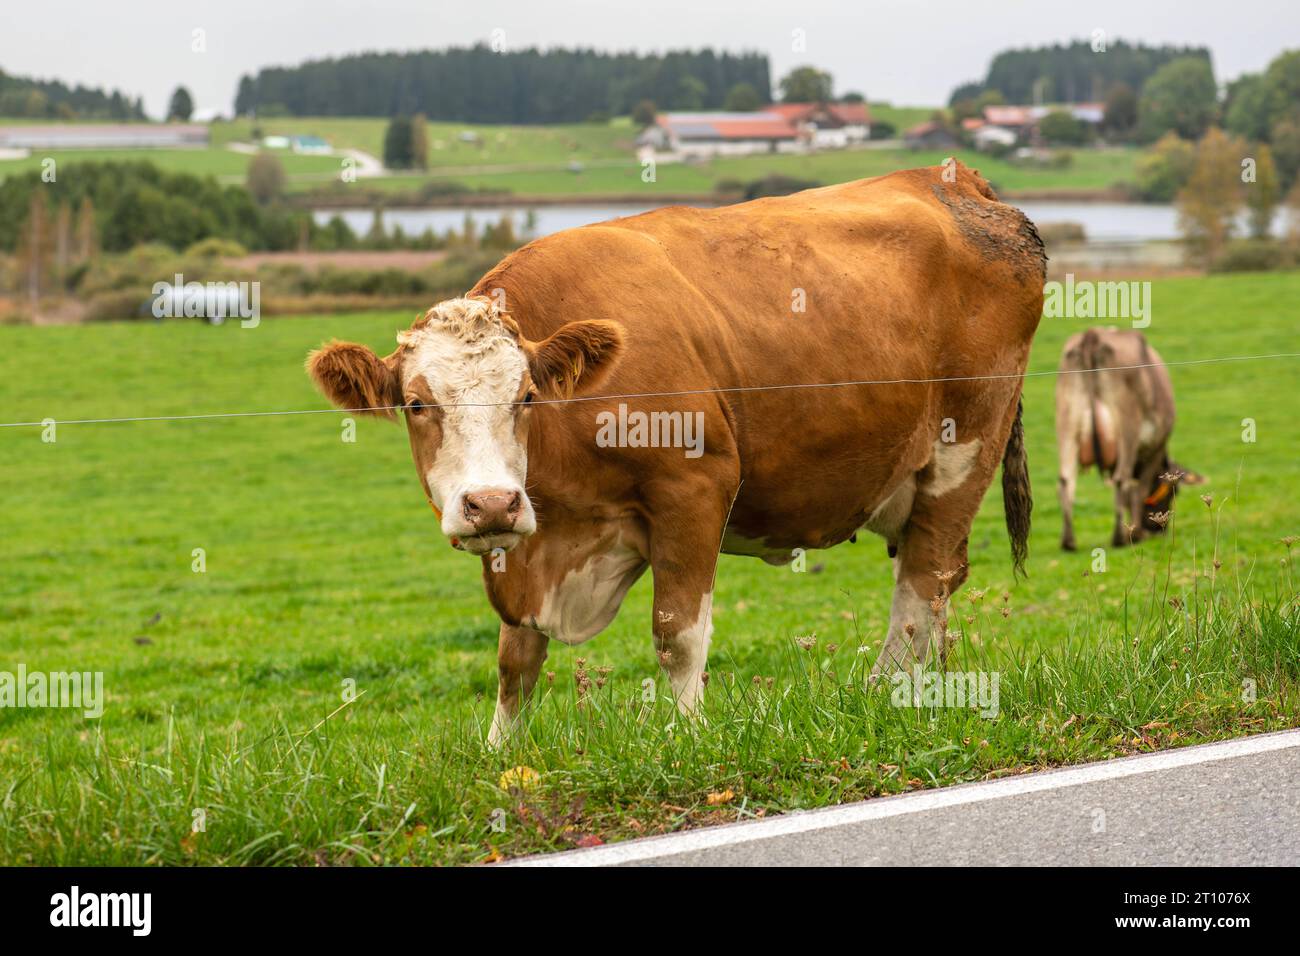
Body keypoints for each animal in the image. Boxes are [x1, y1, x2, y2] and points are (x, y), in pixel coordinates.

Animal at [304, 162, 1045, 749]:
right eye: (416, 404)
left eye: (526, 396)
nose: (491, 503)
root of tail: (952, 180)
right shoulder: (523, 551)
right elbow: (516, 654)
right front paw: (499, 754)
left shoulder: (694, 486)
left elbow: (677, 632)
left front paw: (687, 736)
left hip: (964, 447)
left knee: (922, 584)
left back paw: (885, 696)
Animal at [1050, 330, 1201, 548]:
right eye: (1174, 492)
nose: (1158, 529)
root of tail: (1092, 334)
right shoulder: (1154, 449)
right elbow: (1139, 489)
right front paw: (1136, 533)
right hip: (1127, 425)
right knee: (1122, 479)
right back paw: (1120, 538)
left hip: (1066, 422)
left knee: (1066, 481)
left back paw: (1068, 542)